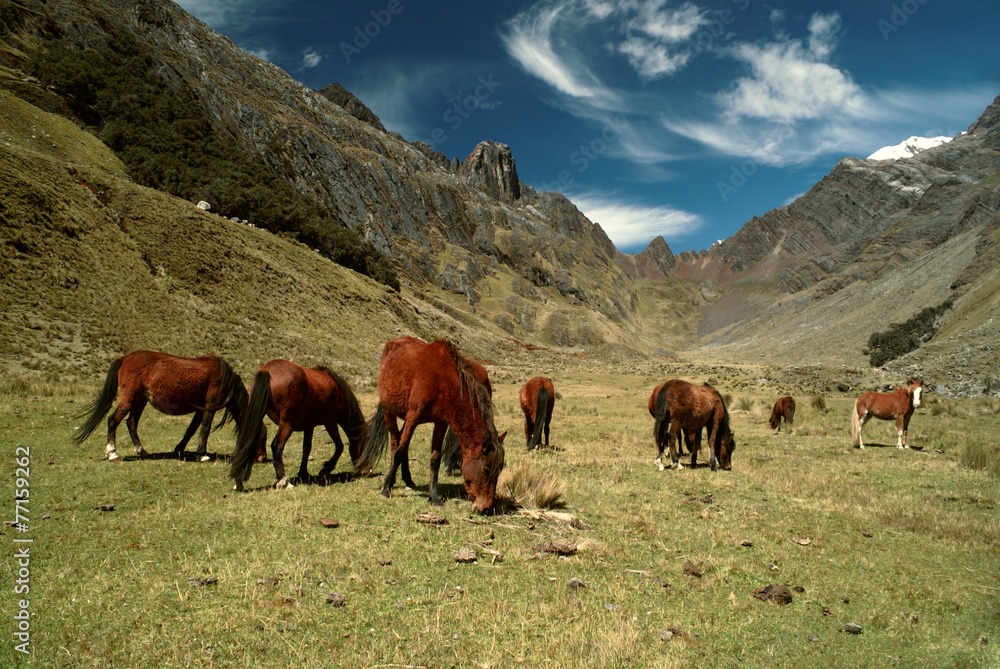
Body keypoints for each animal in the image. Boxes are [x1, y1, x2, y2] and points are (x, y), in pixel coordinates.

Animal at [73, 350, 253, 462]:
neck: (223, 376)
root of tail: (124, 359)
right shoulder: (210, 405)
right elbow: (205, 429)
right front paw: (202, 455)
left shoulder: (200, 409)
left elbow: (192, 429)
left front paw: (180, 449)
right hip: (130, 399)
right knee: (113, 420)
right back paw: (112, 453)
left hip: (140, 401)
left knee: (131, 423)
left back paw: (142, 451)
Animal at [229, 359, 367, 490]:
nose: (366, 471)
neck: (336, 389)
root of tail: (267, 370)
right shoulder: (330, 422)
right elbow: (339, 446)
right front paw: (326, 468)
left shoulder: (309, 426)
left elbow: (306, 448)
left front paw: (303, 472)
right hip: (287, 424)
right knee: (277, 446)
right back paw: (283, 481)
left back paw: (238, 481)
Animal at [356, 337, 506, 514]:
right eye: (486, 469)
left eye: (499, 470)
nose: (486, 508)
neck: (442, 379)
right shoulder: (413, 417)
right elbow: (399, 452)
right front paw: (385, 489)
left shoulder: (440, 423)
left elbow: (435, 459)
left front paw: (434, 496)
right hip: (389, 413)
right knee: (395, 444)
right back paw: (392, 482)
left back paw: (408, 480)